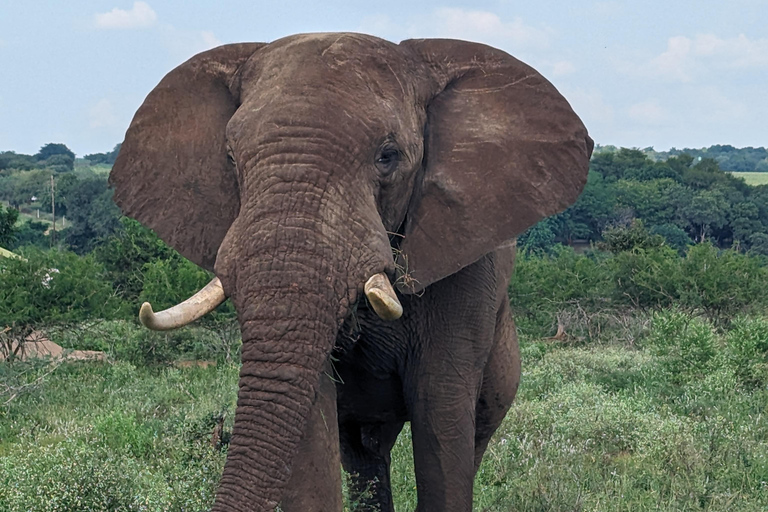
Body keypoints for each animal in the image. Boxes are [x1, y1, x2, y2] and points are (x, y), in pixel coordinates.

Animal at [108, 33, 592, 512]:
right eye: (229, 157)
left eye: (388, 156)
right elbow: (311, 418)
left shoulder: (468, 264)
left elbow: (440, 411)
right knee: (363, 453)